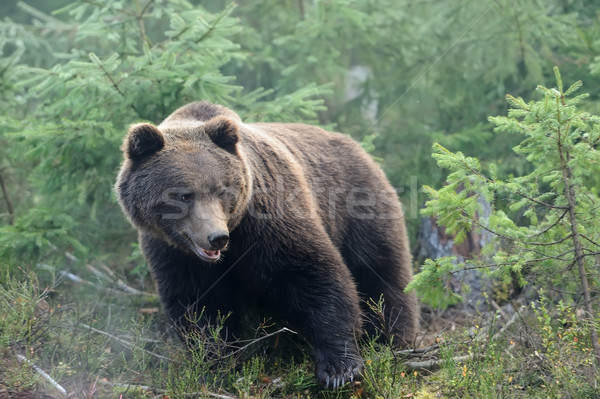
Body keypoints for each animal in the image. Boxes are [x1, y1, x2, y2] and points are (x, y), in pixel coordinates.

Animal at [116, 101, 418, 390]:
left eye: (222, 190)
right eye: (184, 195)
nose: (216, 237)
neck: (235, 237)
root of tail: (360, 148)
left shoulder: (268, 217)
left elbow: (314, 274)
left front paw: (339, 368)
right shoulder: (174, 252)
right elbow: (199, 305)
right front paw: (217, 363)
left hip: (358, 206)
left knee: (380, 272)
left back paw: (393, 339)